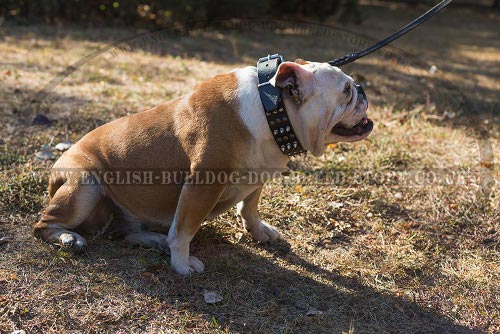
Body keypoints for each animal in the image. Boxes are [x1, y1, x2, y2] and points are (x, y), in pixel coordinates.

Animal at [33, 59, 372, 274]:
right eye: (346, 91)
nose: (362, 88)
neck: (272, 108)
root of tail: (55, 171)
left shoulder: (258, 176)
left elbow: (250, 207)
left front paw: (259, 231)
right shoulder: (203, 184)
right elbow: (184, 229)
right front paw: (181, 264)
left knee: (126, 233)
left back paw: (155, 240)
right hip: (84, 185)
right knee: (43, 225)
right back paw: (70, 239)